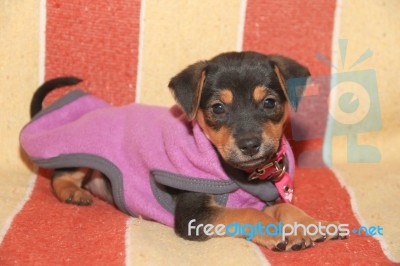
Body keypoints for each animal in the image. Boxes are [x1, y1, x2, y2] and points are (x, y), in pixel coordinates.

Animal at [22, 51, 346, 251]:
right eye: (218, 108)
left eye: (269, 103)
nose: (250, 144)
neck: (245, 175)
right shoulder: (194, 215)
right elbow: (246, 214)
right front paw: (275, 231)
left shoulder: (268, 197)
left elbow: (284, 207)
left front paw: (311, 225)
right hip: (85, 152)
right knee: (61, 174)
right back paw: (72, 193)